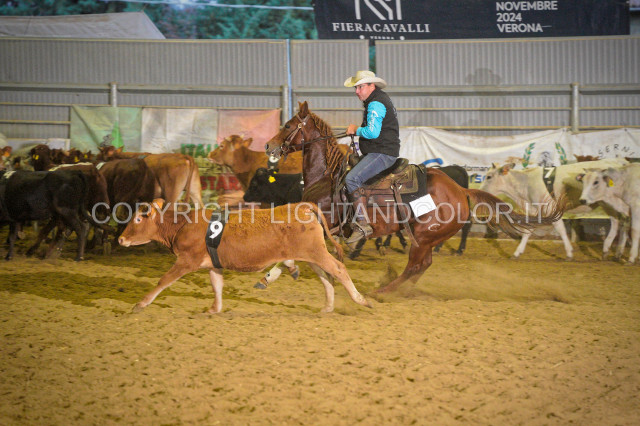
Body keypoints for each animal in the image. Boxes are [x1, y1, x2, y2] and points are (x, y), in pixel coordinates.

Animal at [118, 200, 372, 313]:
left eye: (138, 219)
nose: (120, 239)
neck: (181, 224)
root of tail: (301, 206)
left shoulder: (186, 261)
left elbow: (164, 280)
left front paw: (141, 303)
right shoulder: (214, 264)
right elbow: (217, 285)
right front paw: (214, 309)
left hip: (316, 251)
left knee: (338, 269)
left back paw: (361, 300)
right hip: (310, 254)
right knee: (326, 277)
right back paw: (327, 307)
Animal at [265, 101, 565, 293]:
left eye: (289, 124)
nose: (268, 145)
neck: (327, 176)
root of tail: (461, 191)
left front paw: (272, 274)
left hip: (423, 235)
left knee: (416, 266)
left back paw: (384, 291)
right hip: (428, 238)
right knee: (421, 267)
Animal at [480, 158, 629, 260]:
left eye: (489, 176)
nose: (480, 190)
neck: (525, 185)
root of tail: (617, 161)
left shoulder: (551, 208)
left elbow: (561, 229)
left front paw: (569, 252)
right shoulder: (536, 211)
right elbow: (528, 231)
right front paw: (517, 252)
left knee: (622, 221)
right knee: (618, 222)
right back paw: (611, 250)